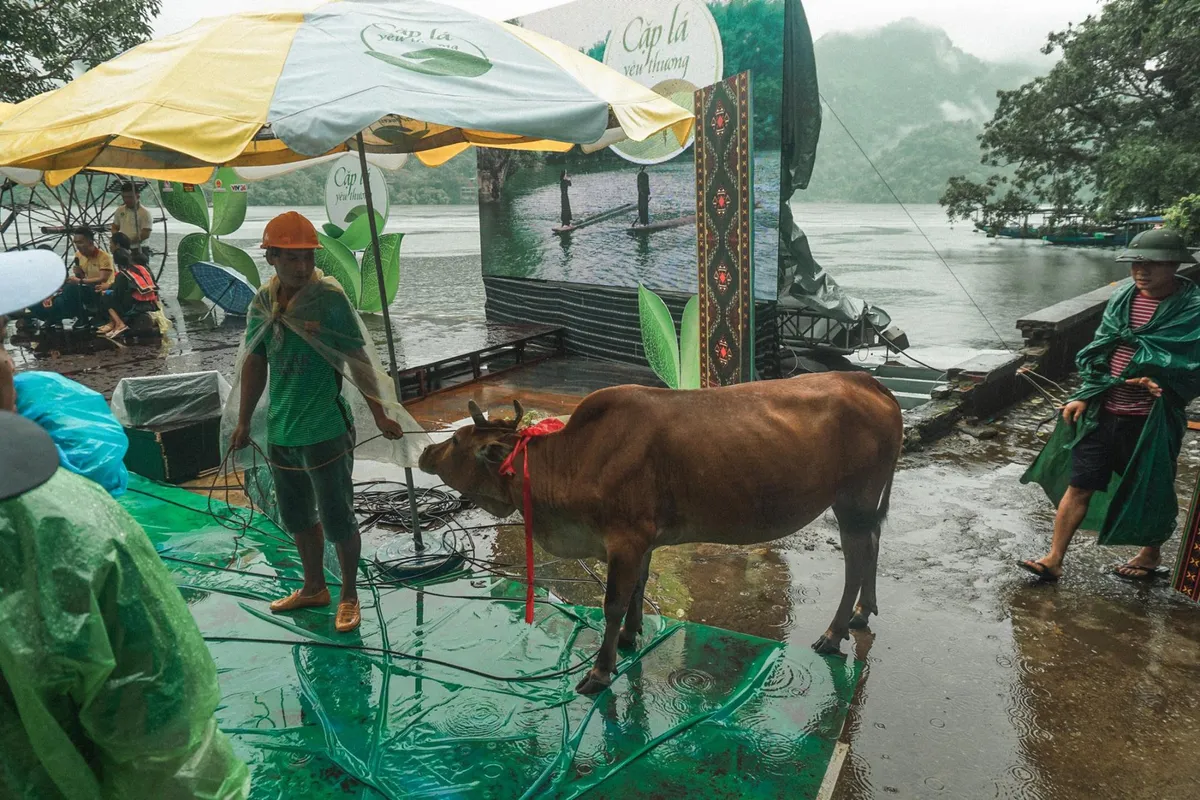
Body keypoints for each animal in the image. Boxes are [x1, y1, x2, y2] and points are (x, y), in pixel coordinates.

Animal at [422, 376, 902, 695]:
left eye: (458, 441)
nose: (426, 450)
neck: (575, 458)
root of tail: (867, 382)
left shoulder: (625, 538)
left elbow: (614, 602)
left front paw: (600, 671)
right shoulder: (642, 539)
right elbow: (638, 587)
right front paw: (631, 637)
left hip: (853, 500)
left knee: (857, 560)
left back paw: (835, 632)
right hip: (864, 503)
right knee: (874, 545)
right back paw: (862, 613)